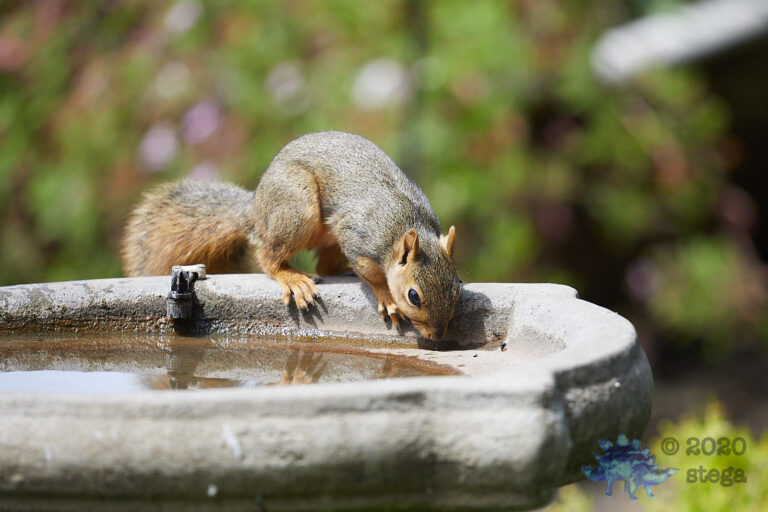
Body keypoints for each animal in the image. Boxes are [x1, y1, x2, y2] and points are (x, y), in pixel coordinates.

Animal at [122, 131, 461, 341]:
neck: (406, 223)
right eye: (413, 296)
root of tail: (256, 208)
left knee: (325, 266)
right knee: (268, 256)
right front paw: (387, 299)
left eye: (457, 288)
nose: (438, 336)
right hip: (297, 210)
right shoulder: (359, 239)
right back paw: (292, 278)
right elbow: (374, 277)